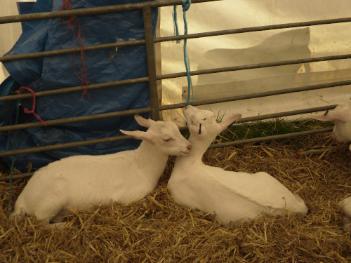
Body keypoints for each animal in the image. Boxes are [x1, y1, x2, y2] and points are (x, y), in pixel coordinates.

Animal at [11, 114, 192, 224]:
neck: (141, 165)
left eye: (177, 129)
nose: (189, 146)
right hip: (51, 200)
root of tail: (22, 200)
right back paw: (63, 226)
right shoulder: (128, 197)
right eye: (167, 139)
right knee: (41, 222)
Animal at [169, 105, 310, 225]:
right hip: (265, 176)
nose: (186, 106)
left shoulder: (179, 195)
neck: (191, 163)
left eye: (193, 120)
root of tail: (296, 207)